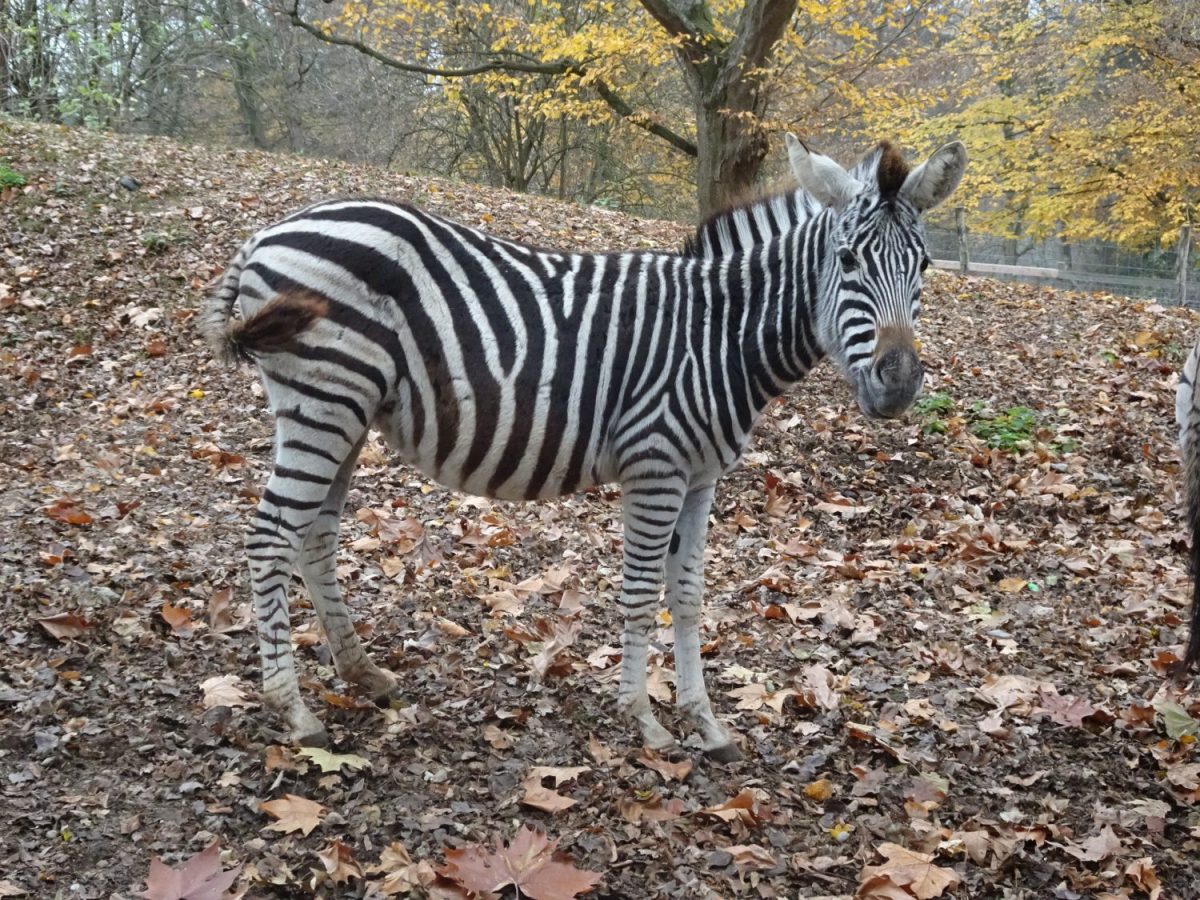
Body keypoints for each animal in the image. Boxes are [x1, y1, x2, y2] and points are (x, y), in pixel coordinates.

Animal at [196, 133, 964, 758]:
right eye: (848, 260)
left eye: (925, 265)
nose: (898, 384)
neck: (719, 335)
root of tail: (268, 233)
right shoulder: (655, 464)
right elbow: (639, 591)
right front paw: (644, 720)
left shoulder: (701, 477)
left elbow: (688, 593)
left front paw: (705, 722)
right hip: (324, 402)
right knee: (270, 536)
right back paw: (294, 711)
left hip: (345, 413)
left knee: (314, 536)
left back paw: (363, 674)